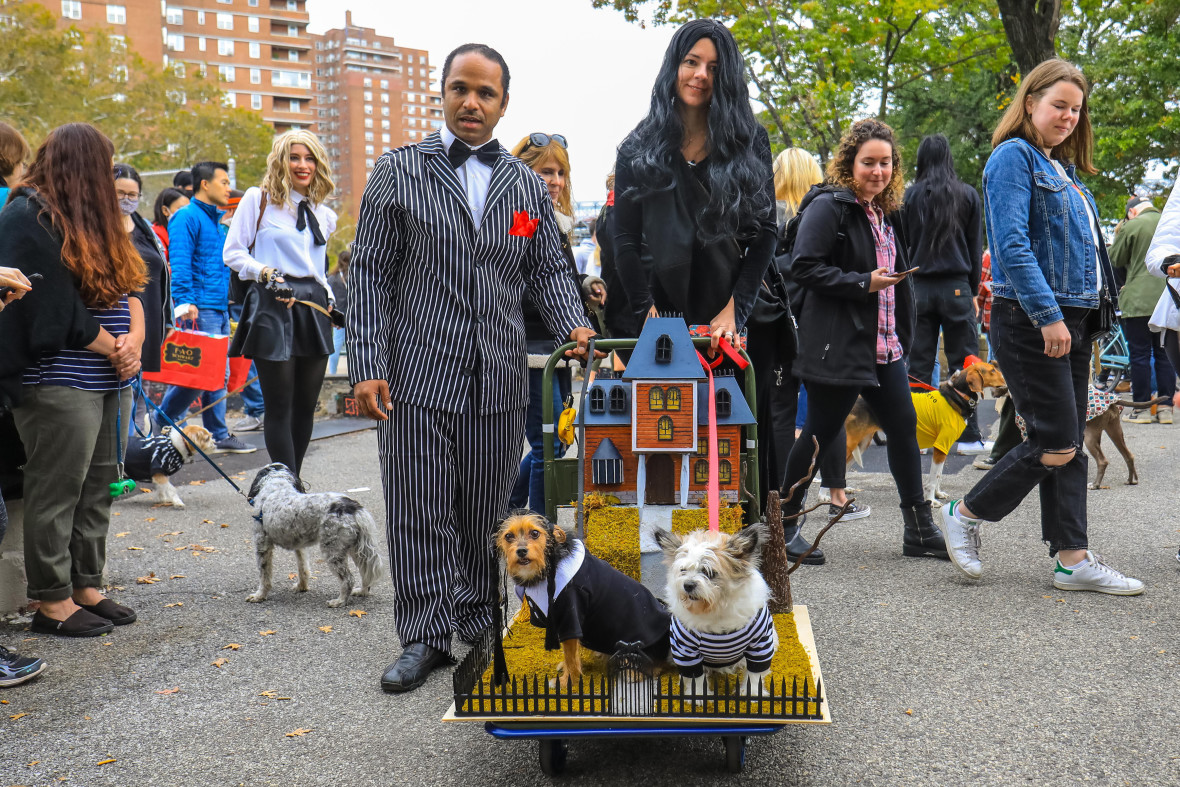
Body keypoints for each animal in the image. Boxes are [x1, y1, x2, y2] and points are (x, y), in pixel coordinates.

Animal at [246, 462, 384, 608]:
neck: (276, 488)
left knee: (348, 579)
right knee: (366, 573)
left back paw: (339, 601)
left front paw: (259, 595)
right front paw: (301, 587)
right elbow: (303, 568)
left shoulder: (262, 546)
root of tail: (354, 508)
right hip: (357, 550)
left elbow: (264, 576)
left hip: (333, 551)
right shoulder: (299, 546)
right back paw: (362, 591)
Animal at [490, 514, 670, 684]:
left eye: (535, 533)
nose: (521, 551)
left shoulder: (570, 616)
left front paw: (567, 682)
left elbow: (571, 656)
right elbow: (569, 653)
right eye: (508, 536)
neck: (551, 564)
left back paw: (634, 672)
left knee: (655, 667)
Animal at [651, 523, 778, 703]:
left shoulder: (760, 645)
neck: (715, 608)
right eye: (683, 570)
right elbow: (695, 677)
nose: (687, 585)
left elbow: (754, 674)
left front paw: (752, 693)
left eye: (709, 572)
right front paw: (698, 695)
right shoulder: (686, 651)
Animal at [849, 361, 1005, 502]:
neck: (957, 396)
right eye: (992, 370)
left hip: (861, 444)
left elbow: (939, 476)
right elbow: (933, 478)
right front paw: (931, 500)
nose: (1005, 377)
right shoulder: (940, 447)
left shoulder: (944, 447)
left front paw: (938, 494)